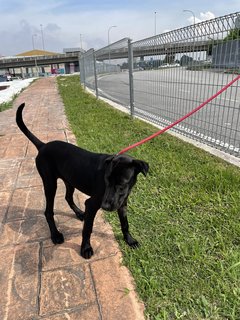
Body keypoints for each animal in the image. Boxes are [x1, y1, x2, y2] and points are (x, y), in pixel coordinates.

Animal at [15, 104, 148, 258]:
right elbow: (87, 229)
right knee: (48, 211)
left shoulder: (122, 203)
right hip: (50, 184)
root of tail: (43, 146)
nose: (105, 207)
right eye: (106, 181)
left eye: (121, 183)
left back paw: (79, 213)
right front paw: (85, 248)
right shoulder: (91, 204)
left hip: (70, 180)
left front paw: (129, 240)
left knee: (68, 197)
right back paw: (56, 235)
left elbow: (125, 224)